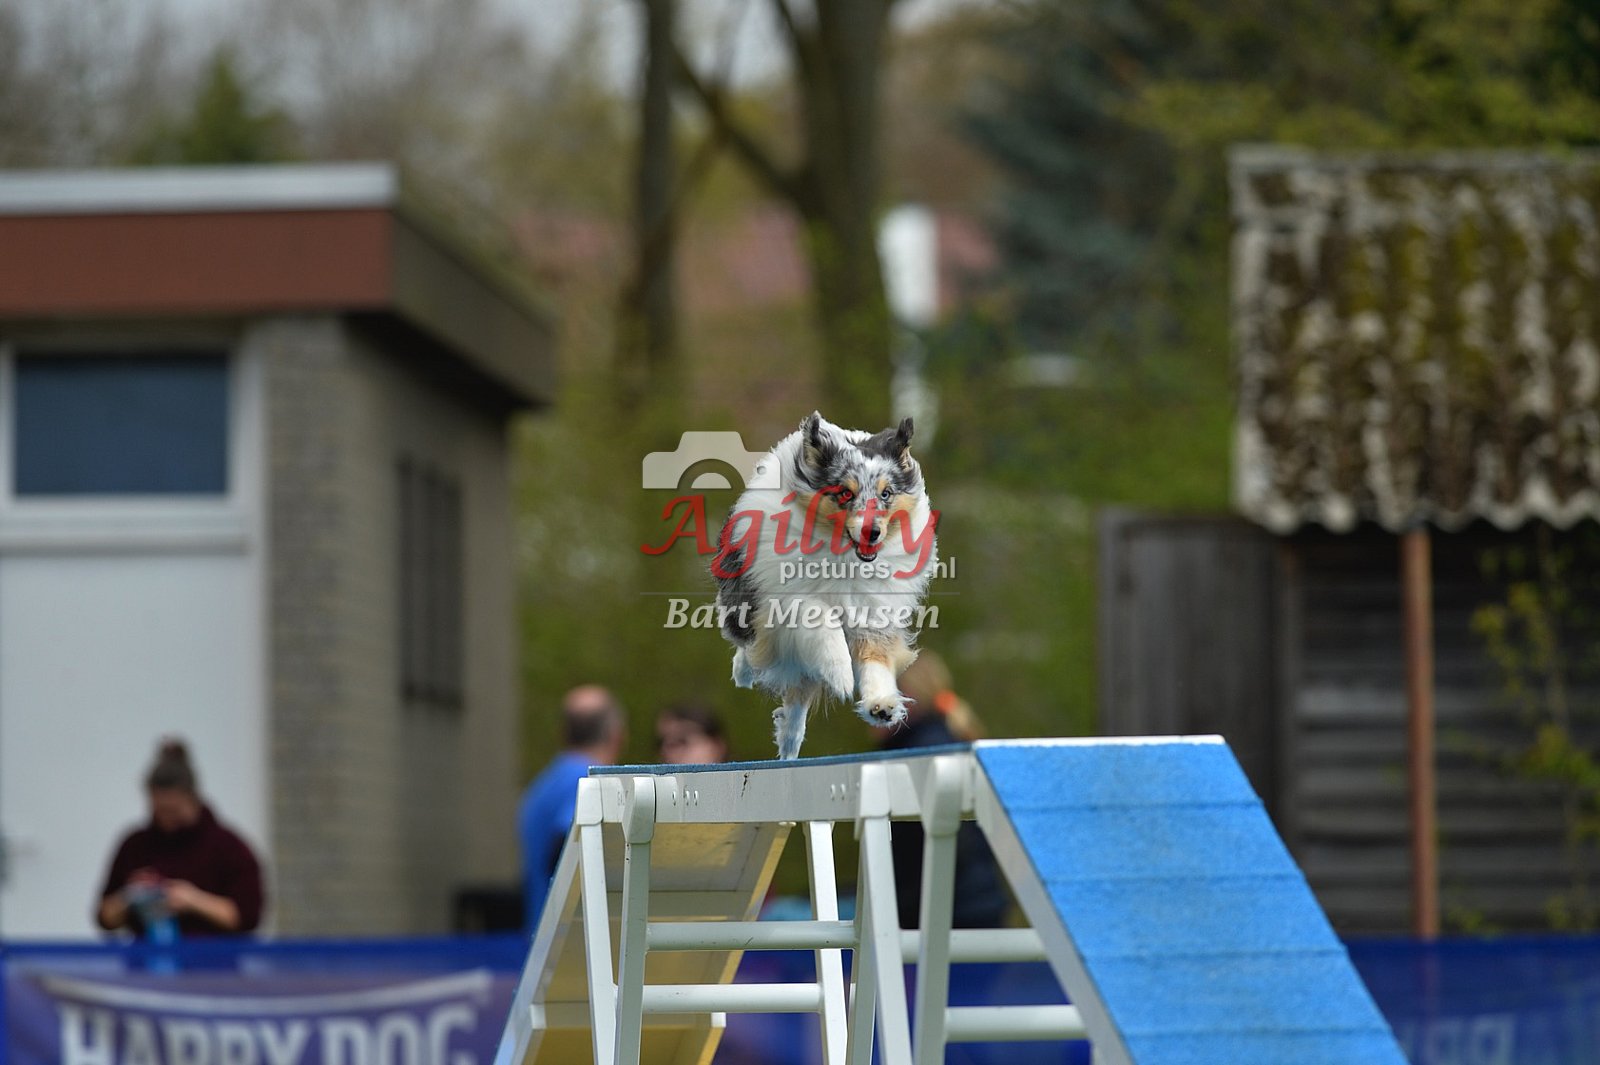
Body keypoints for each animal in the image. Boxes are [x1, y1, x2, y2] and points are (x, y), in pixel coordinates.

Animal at [712, 412, 938, 759]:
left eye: (886, 494)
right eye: (845, 493)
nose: (872, 532)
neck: (845, 556)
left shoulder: (874, 611)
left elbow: (875, 659)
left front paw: (881, 705)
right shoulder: (793, 600)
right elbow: (823, 621)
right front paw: (841, 675)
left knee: (796, 703)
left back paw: (790, 744)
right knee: (753, 647)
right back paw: (744, 673)